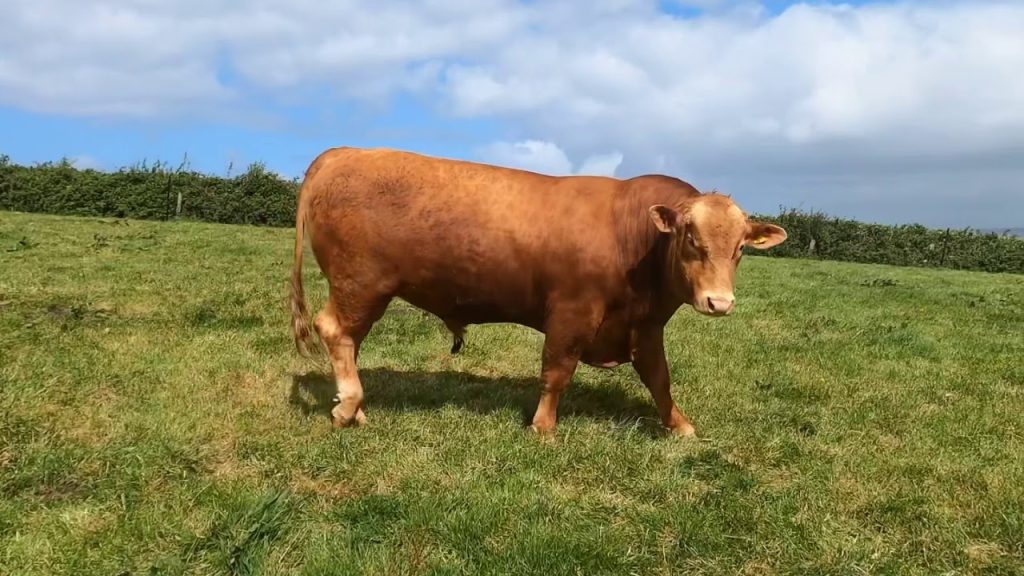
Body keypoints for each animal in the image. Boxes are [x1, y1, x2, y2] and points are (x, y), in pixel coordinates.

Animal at [292, 145, 786, 432]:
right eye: (689, 237)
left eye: (741, 247)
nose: (719, 302)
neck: (630, 236)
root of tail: (340, 153)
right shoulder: (572, 312)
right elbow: (557, 371)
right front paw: (543, 426)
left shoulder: (644, 325)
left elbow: (659, 378)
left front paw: (680, 426)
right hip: (361, 285)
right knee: (334, 330)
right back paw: (348, 406)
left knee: (348, 340)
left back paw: (355, 408)